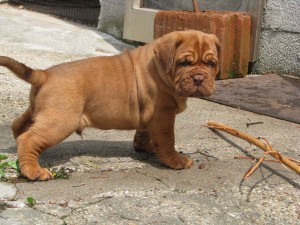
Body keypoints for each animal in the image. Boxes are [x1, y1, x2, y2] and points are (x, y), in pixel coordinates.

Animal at [0, 30, 220, 181]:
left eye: (211, 64)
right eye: (184, 63)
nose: (199, 78)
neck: (160, 67)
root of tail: (44, 74)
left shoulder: (150, 117)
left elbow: (145, 132)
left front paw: (145, 147)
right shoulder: (163, 115)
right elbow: (167, 141)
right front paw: (175, 161)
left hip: (38, 110)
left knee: (19, 125)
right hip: (60, 120)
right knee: (29, 138)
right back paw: (33, 170)